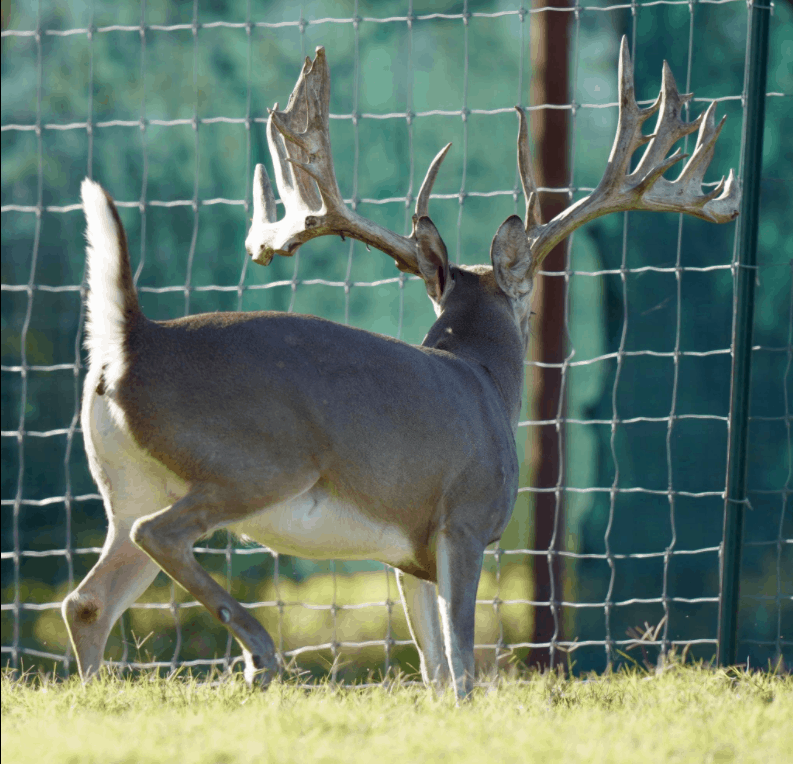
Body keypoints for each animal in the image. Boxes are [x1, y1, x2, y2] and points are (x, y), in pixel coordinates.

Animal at [63, 38, 739, 700]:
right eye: (532, 303)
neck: (483, 378)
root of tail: (133, 341)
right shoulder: (464, 518)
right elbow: (463, 667)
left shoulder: (408, 554)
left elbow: (435, 669)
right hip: (257, 460)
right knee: (158, 536)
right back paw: (260, 655)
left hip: (129, 486)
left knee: (88, 600)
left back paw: (102, 694)